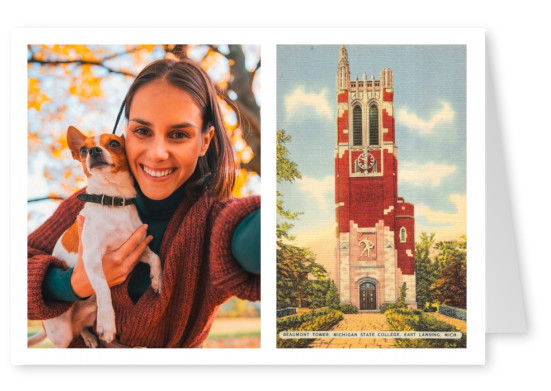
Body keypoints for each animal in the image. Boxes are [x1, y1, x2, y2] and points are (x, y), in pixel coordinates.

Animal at [28, 126, 162, 350]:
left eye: (115, 143)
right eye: (83, 150)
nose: (93, 151)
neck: (113, 200)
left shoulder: (136, 248)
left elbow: (156, 258)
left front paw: (157, 279)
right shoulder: (92, 259)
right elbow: (104, 289)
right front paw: (108, 324)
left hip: (88, 316)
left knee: (81, 327)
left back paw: (89, 336)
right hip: (61, 334)